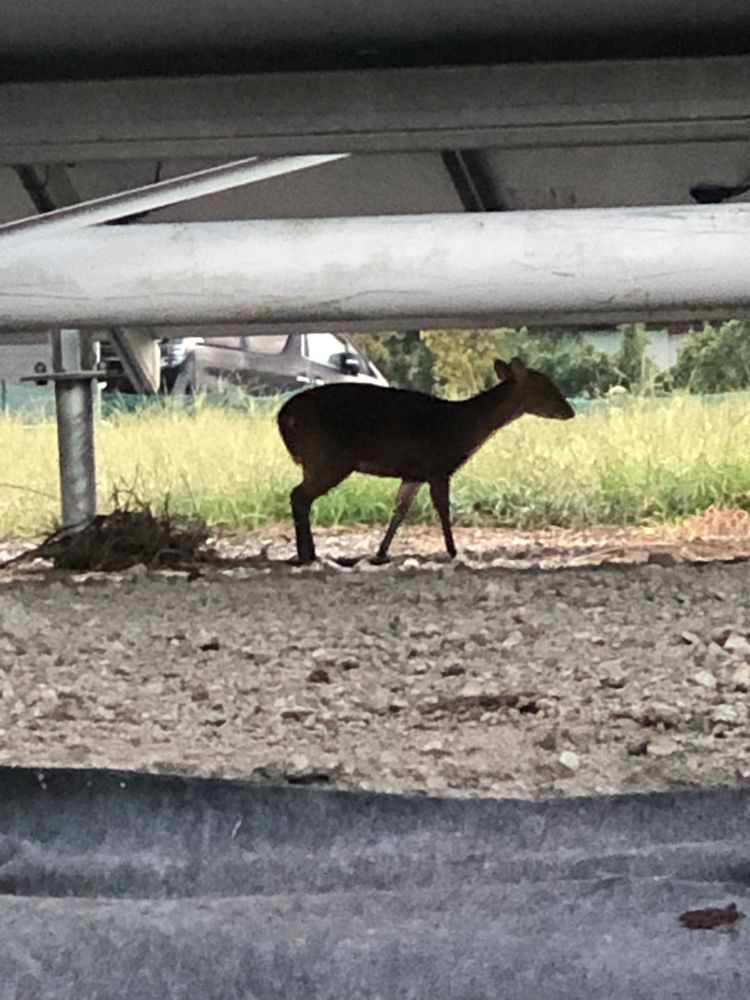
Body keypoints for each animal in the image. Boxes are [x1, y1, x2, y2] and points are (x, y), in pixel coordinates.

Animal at [277, 357, 575, 564]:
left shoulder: (414, 473)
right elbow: (443, 509)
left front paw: (381, 552)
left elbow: (399, 511)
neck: (467, 426)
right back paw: (307, 555)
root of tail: (284, 417)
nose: (569, 411)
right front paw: (453, 551)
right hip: (327, 457)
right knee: (298, 496)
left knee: (299, 497)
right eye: (545, 386)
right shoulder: (439, 467)